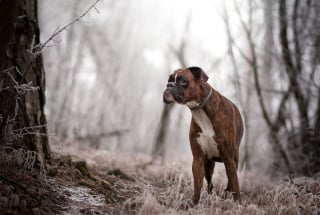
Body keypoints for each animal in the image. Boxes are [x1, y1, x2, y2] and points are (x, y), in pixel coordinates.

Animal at [164, 66, 244, 204]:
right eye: (169, 80)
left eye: (183, 81)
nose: (169, 85)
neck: (200, 110)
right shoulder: (198, 158)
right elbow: (198, 183)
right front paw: (195, 203)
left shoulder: (228, 158)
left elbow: (235, 183)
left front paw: (238, 203)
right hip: (208, 164)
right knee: (210, 183)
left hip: (234, 158)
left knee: (230, 180)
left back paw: (226, 194)